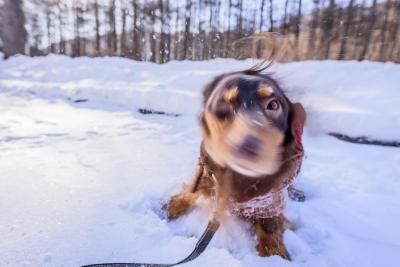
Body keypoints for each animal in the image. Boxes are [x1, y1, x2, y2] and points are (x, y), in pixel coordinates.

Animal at [164, 64, 304, 260]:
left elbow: (271, 227)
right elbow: (191, 191)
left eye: (273, 104)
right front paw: (171, 206)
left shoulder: (271, 202)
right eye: (222, 106)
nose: (249, 147)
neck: (239, 177)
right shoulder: (207, 173)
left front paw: (275, 254)